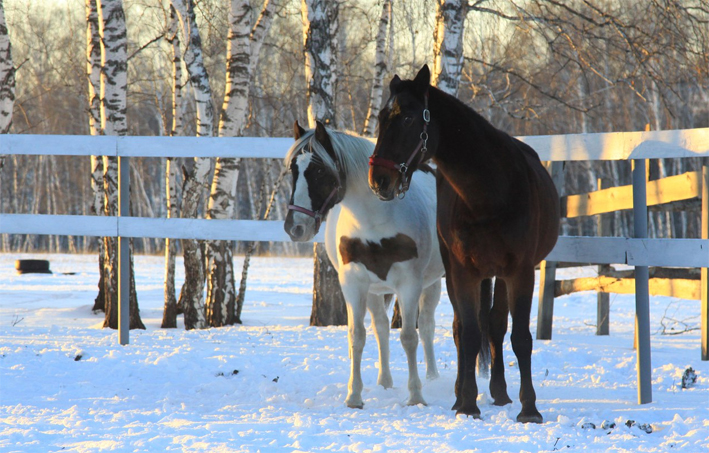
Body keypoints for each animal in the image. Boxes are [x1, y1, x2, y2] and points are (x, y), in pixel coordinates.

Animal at [284, 122, 442, 408]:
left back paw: (433, 378)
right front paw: (354, 396)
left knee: (426, 326)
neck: (375, 220)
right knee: (381, 327)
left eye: (320, 170)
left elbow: (409, 337)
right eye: (293, 170)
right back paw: (384, 382)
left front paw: (415, 395)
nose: (295, 227)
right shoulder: (354, 284)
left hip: (433, 284)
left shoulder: (410, 284)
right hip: (374, 291)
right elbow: (357, 337)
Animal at [370, 65, 560, 422]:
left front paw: (529, 409)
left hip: (500, 274)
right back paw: (462, 393)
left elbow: (520, 337)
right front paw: (468, 404)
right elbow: (469, 334)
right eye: (381, 118)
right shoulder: (464, 272)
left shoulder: (521, 271)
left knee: (497, 326)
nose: (379, 180)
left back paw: (500, 392)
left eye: (408, 118)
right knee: (463, 329)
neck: (490, 192)